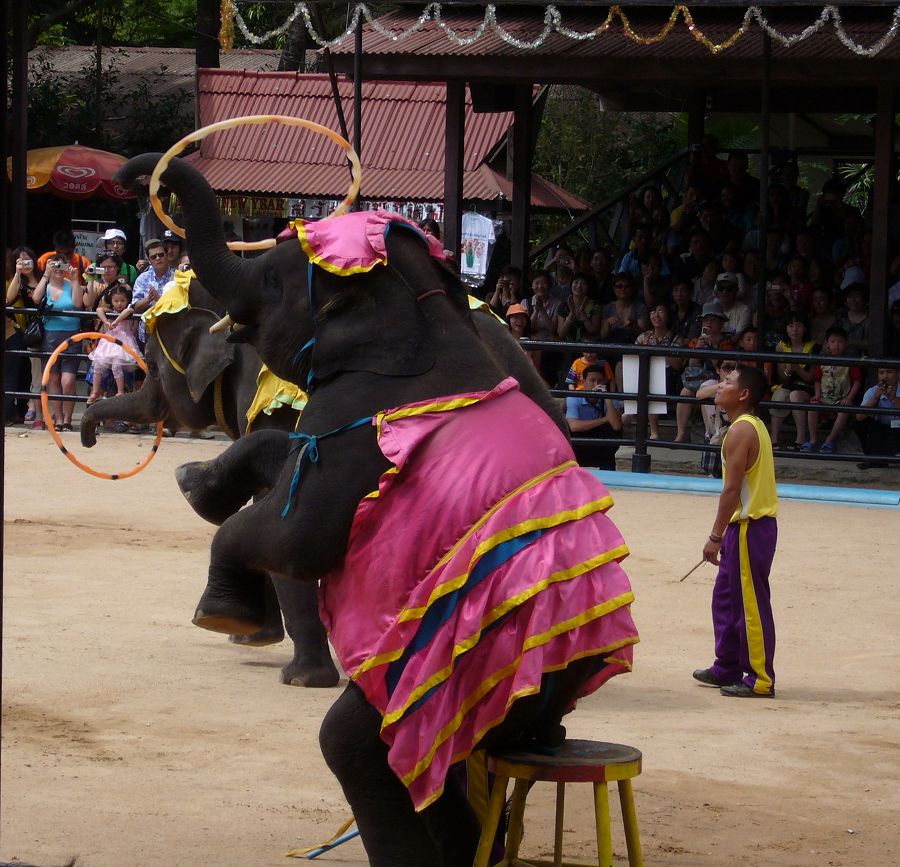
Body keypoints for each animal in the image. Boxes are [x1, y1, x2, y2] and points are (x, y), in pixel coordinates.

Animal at [118, 153, 640, 864]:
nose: (131, 175)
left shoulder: (352, 411)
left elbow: (298, 535)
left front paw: (222, 607)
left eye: (274, 276)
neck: (423, 314)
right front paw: (204, 494)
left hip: (451, 677)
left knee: (358, 750)